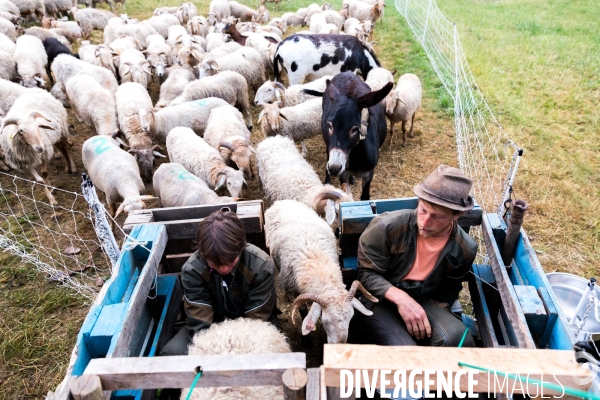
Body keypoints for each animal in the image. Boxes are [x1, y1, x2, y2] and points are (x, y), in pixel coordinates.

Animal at [264, 202, 376, 342]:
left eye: (351, 318)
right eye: (325, 320)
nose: (340, 343)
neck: (320, 268)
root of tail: (282, 202)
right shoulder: (296, 290)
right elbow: (303, 310)